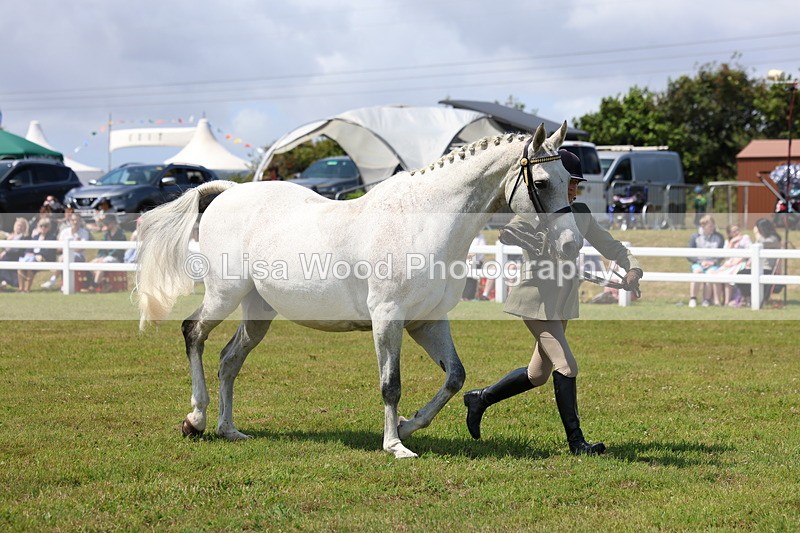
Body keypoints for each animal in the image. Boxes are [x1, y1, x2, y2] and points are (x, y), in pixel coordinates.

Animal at [135, 122, 580, 458]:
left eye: (568, 181)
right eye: (542, 182)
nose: (570, 244)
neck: (423, 221)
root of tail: (228, 192)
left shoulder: (427, 321)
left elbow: (455, 377)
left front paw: (408, 425)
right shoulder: (388, 317)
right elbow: (391, 384)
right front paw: (395, 446)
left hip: (259, 310)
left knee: (229, 359)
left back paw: (229, 429)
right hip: (223, 294)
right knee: (193, 333)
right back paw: (196, 419)